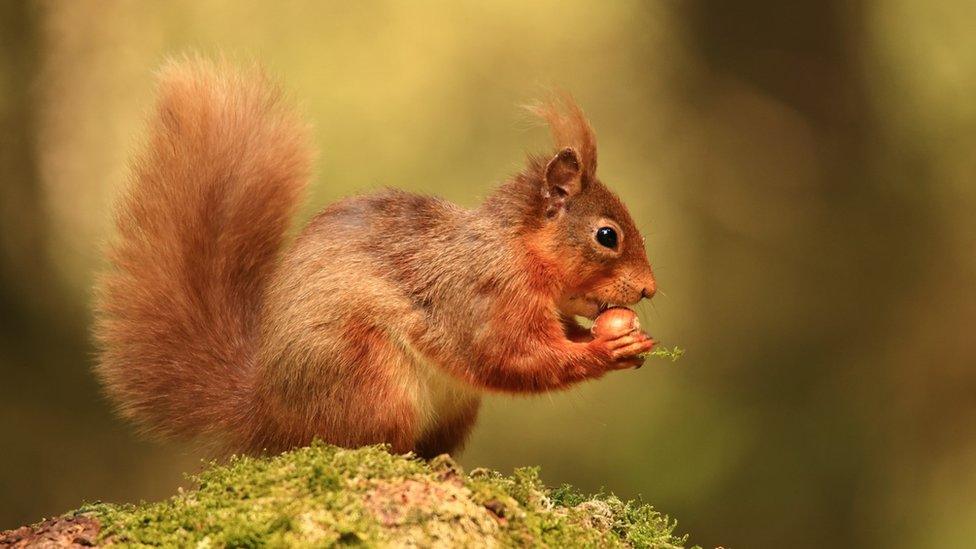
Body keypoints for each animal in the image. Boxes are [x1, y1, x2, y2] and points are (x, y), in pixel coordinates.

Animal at [95, 57, 656, 458]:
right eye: (607, 235)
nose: (650, 290)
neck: (515, 248)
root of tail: (268, 414)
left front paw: (629, 339)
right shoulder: (484, 296)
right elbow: (511, 358)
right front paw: (607, 348)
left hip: (451, 410)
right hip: (367, 378)